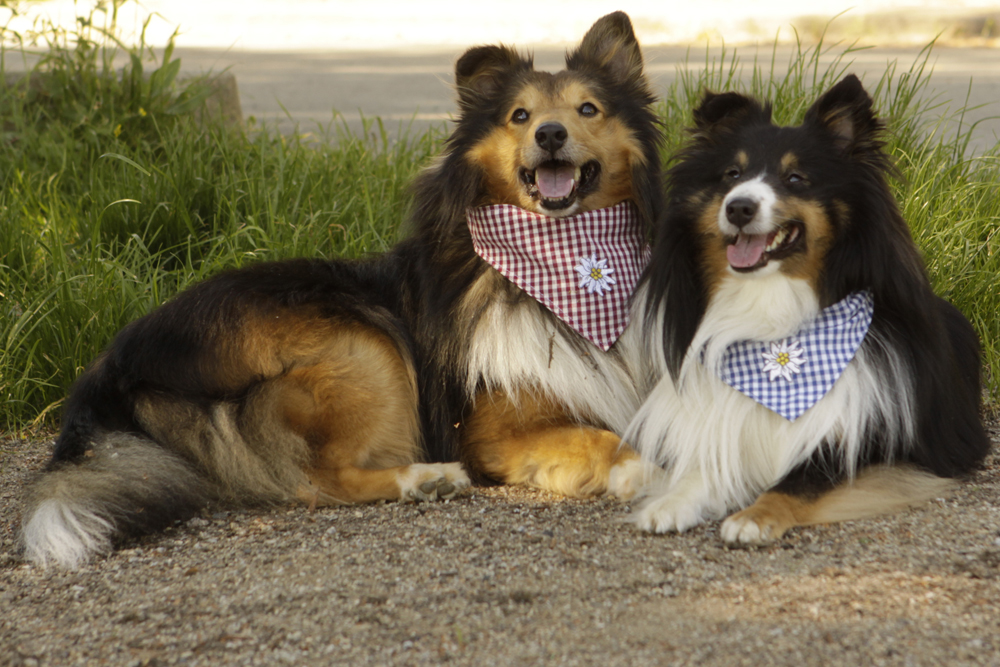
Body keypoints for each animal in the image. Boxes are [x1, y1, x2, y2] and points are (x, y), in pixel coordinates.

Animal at [21, 13, 664, 568]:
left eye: (588, 108)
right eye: (520, 115)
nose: (551, 134)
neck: (566, 261)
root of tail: (112, 363)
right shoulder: (496, 431)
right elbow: (603, 438)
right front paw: (644, 469)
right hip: (364, 344)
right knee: (315, 481)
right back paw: (426, 478)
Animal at [628, 75, 988, 544]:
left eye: (796, 177)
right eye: (732, 175)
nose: (738, 207)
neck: (776, 329)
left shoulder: (881, 445)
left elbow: (801, 479)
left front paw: (753, 516)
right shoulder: (726, 425)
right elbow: (706, 465)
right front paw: (671, 501)